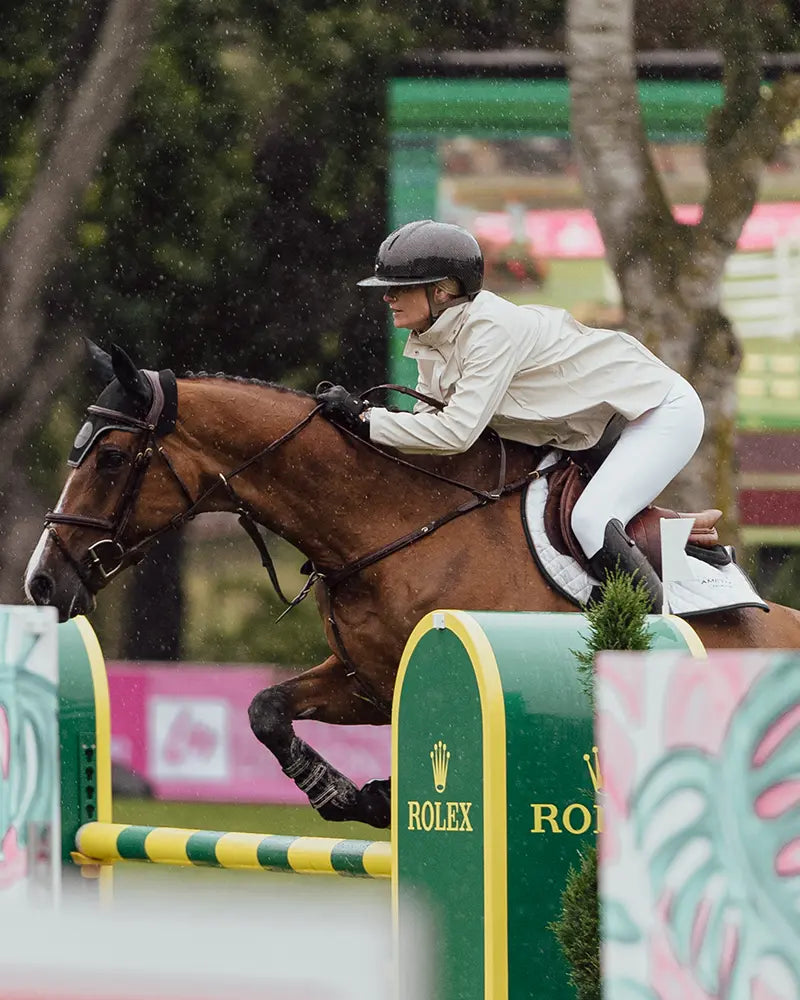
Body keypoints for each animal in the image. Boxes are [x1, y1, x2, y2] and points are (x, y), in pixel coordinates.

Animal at [21, 346, 800, 828]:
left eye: (112, 457)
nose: (41, 581)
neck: (389, 526)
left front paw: (381, 794)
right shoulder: (365, 681)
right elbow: (266, 709)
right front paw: (343, 793)